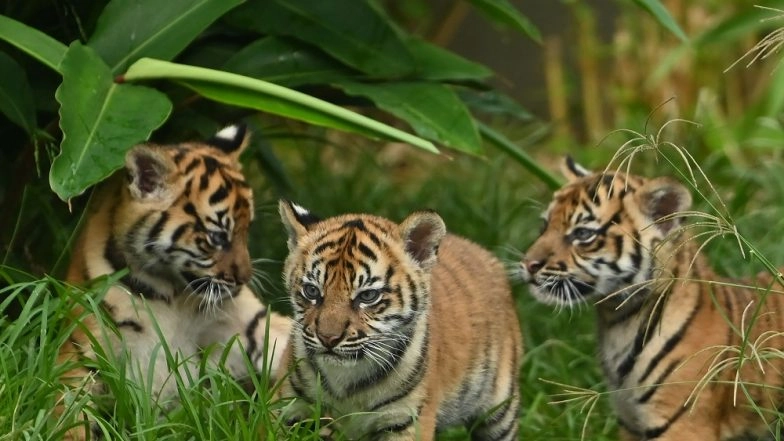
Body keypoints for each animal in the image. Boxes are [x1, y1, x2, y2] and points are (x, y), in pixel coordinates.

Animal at [56, 125, 291, 440]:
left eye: (247, 229)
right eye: (218, 237)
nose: (244, 279)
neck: (171, 292)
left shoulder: (249, 324)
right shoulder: (85, 348)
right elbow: (69, 411)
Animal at [276, 201, 523, 441]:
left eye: (368, 296)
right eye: (311, 291)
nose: (328, 338)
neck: (347, 377)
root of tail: (480, 249)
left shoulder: (407, 420)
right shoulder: (290, 408)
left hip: (499, 410)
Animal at [519, 156, 784, 441]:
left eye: (582, 234)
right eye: (544, 225)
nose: (528, 264)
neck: (617, 320)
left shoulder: (682, 424)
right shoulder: (630, 423)